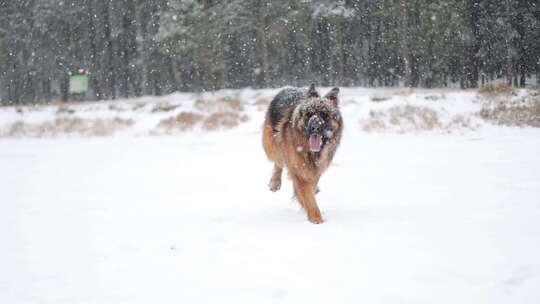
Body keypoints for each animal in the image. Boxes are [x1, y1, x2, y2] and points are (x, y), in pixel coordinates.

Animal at [262, 83, 342, 223]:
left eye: (325, 115)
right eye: (309, 114)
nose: (314, 127)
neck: (311, 152)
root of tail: (288, 87)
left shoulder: (316, 168)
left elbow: (310, 187)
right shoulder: (300, 171)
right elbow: (308, 198)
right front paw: (316, 220)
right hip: (272, 147)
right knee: (278, 161)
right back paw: (275, 182)